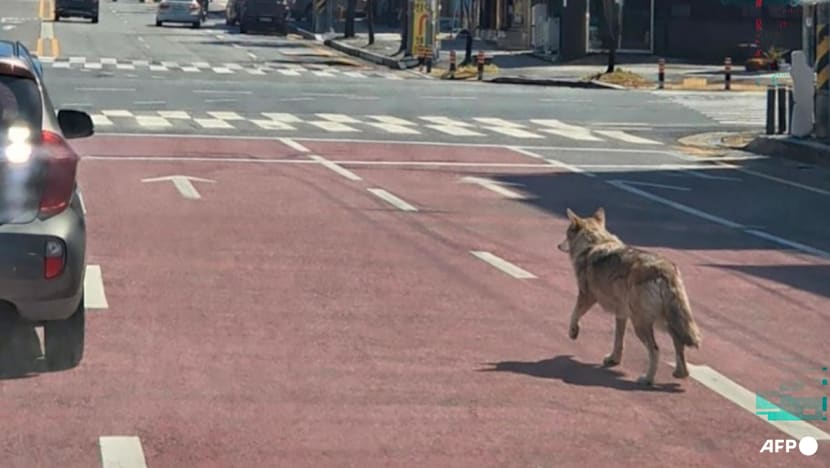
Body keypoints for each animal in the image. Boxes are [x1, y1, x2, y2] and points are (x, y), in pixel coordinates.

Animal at [557, 207, 701, 386]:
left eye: (566, 233)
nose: (558, 245)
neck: (594, 243)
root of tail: (665, 270)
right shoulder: (621, 314)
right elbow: (618, 341)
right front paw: (613, 359)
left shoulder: (586, 296)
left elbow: (574, 314)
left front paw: (573, 332)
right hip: (663, 321)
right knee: (679, 343)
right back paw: (680, 373)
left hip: (641, 323)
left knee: (655, 350)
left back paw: (647, 379)